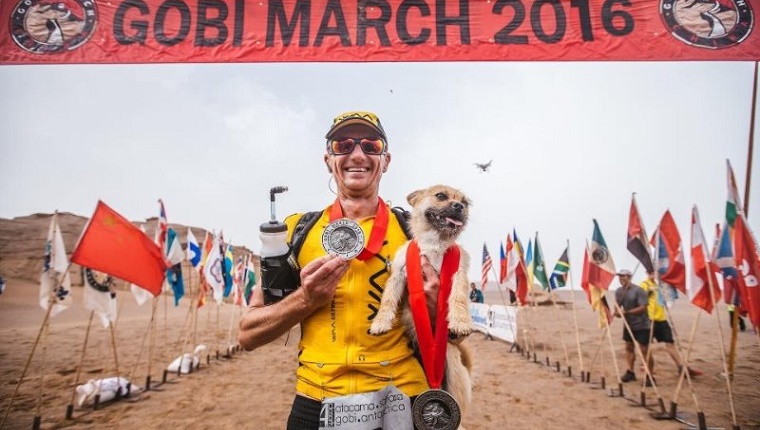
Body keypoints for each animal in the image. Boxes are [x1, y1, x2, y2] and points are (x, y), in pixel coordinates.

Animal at [372, 185, 472, 426]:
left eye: (465, 202)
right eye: (441, 196)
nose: (459, 206)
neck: (435, 244)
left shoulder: (458, 274)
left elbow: (458, 298)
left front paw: (460, 321)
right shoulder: (399, 273)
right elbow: (387, 299)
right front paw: (380, 322)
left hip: (453, 372)